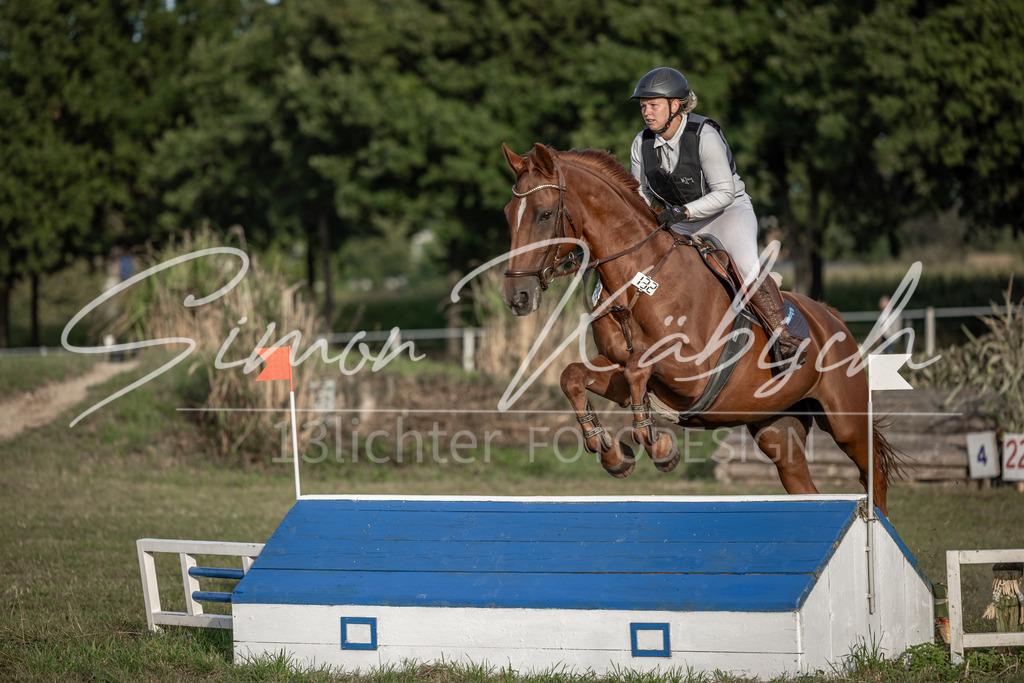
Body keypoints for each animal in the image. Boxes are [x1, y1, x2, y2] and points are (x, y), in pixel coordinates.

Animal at [499, 142, 902, 516]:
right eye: (507, 215)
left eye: (544, 214)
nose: (517, 297)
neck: (637, 281)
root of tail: (831, 316)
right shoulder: (615, 368)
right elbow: (574, 376)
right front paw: (611, 452)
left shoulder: (692, 372)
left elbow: (638, 369)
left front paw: (658, 446)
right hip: (776, 426)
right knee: (801, 481)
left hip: (845, 420)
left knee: (872, 473)